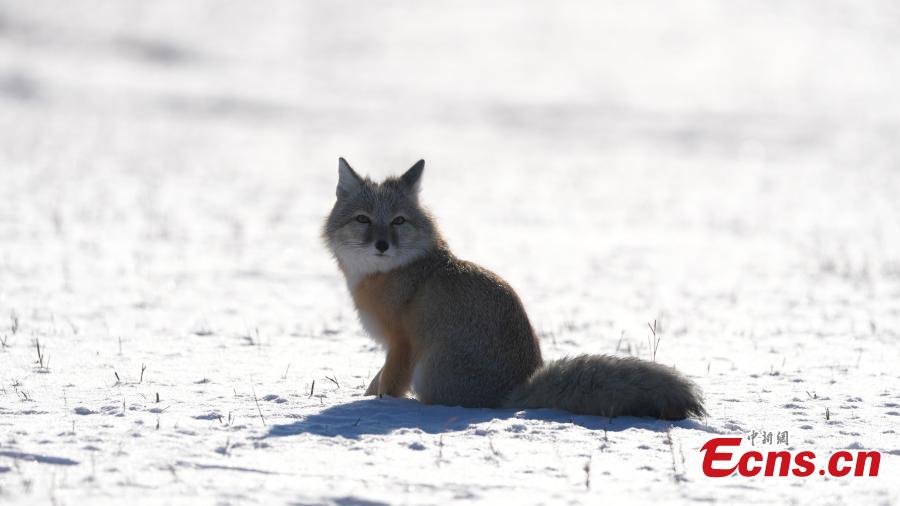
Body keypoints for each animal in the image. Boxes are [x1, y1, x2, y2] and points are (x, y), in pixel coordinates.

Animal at [320, 158, 708, 420]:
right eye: (363, 220)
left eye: (398, 221)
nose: (382, 245)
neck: (393, 273)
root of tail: (516, 392)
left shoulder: (401, 346)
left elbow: (384, 388)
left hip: (426, 370)